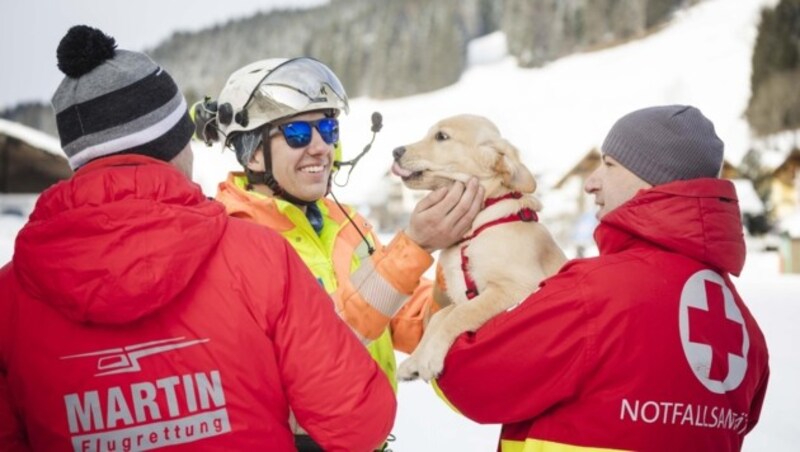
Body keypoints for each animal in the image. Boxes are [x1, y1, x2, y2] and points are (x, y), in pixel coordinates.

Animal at [390, 114, 564, 382]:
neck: (474, 231)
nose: (395, 151)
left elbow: (460, 314)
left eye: (441, 136)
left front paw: (429, 358)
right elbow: (441, 315)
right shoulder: (464, 295)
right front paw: (415, 360)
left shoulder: (517, 287)